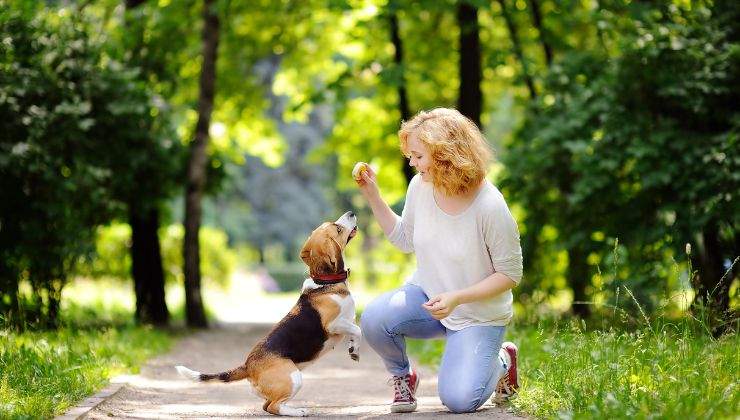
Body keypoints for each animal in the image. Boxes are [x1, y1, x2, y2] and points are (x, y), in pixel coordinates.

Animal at [176, 212, 362, 416]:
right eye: (338, 228)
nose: (351, 213)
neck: (325, 282)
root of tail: (248, 366)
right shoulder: (334, 324)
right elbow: (358, 329)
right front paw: (355, 348)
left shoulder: (347, 321)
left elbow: (354, 331)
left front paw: (353, 350)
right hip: (294, 377)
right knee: (274, 406)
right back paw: (298, 412)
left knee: (267, 406)